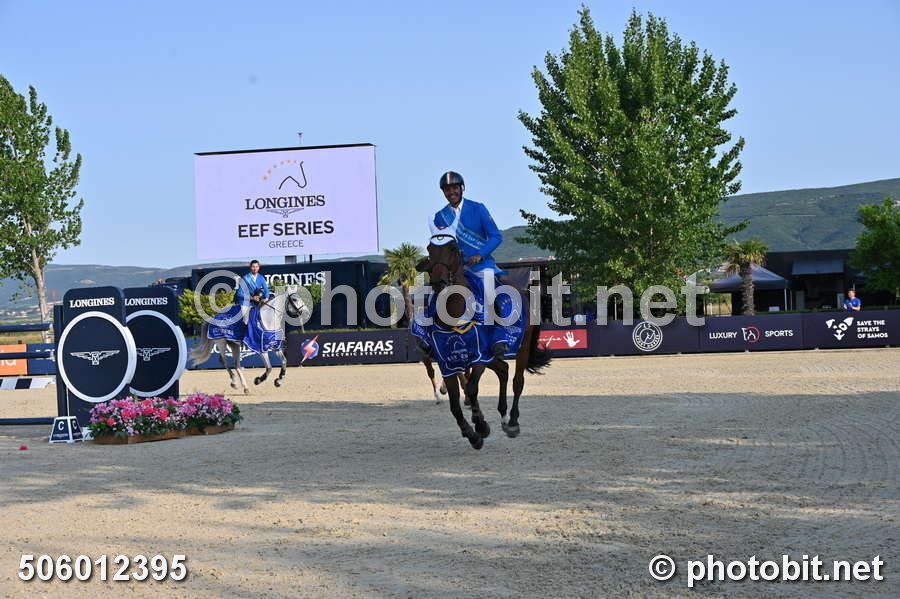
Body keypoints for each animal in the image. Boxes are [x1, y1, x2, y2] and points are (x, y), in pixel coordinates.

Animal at [414, 233, 552, 449]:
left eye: (453, 249)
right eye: (429, 249)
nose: (439, 283)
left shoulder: (479, 356)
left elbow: (471, 388)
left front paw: (480, 425)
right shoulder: (448, 362)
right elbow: (455, 404)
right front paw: (471, 434)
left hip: (522, 347)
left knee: (517, 381)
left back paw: (512, 422)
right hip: (491, 357)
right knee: (503, 370)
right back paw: (503, 416)